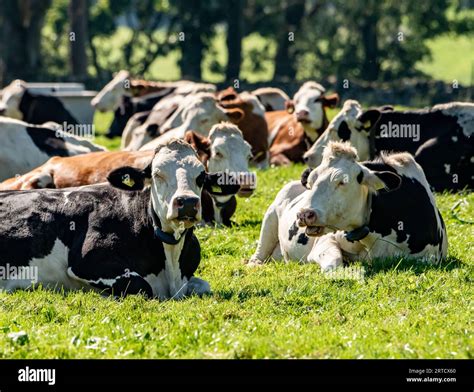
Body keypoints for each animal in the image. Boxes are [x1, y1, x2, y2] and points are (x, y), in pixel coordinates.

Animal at [0, 139, 239, 298]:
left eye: (201, 176)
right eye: (157, 174)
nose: (187, 202)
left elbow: (204, 285)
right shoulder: (87, 263)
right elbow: (143, 287)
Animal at [248, 142, 448, 272]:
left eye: (342, 182)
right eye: (311, 181)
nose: (304, 214)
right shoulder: (324, 242)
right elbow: (334, 263)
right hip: (270, 217)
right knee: (260, 251)